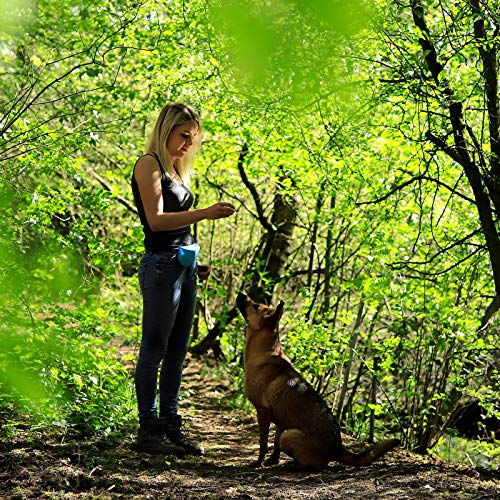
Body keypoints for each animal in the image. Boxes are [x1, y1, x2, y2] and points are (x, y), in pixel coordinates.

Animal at [236, 292, 400, 470]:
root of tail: (337, 448)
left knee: (313, 464)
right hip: (287, 431)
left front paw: (259, 462)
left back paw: (294, 466)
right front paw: (273, 460)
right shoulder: (280, 419)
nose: (241, 293)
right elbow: (275, 445)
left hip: (288, 435)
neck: (265, 351)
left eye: (256, 306)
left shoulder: (262, 412)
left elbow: (264, 444)